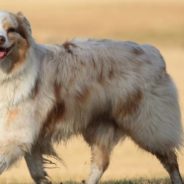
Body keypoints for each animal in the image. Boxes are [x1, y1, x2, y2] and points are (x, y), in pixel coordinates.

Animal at [0, 10, 183, 183]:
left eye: (11, 30)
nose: (1, 39)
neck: (9, 73)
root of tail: (152, 51)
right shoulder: (29, 136)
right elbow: (37, 172)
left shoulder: (17, 133)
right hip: (101, 127)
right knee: (101, 163)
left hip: (147, 125)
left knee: (170, 158)